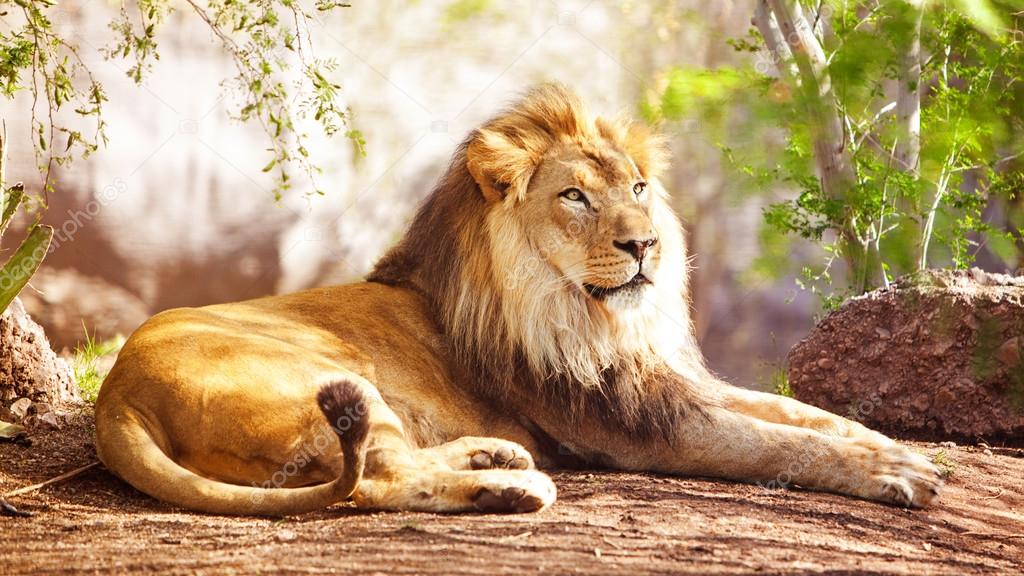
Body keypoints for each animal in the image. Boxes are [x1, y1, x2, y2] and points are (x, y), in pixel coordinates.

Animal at [96, 84, 942, 510]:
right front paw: (895, 474)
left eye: (640, 188)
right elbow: (776, 443)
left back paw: (493, 456)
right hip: (325, 380)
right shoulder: (635, 425)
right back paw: (511, 487)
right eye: (574, 197)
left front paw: (897, 449)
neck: (591, 317)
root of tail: (116, 397)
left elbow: (803, 414)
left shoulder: (663, 381)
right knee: (371, 482)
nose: (646, 245)